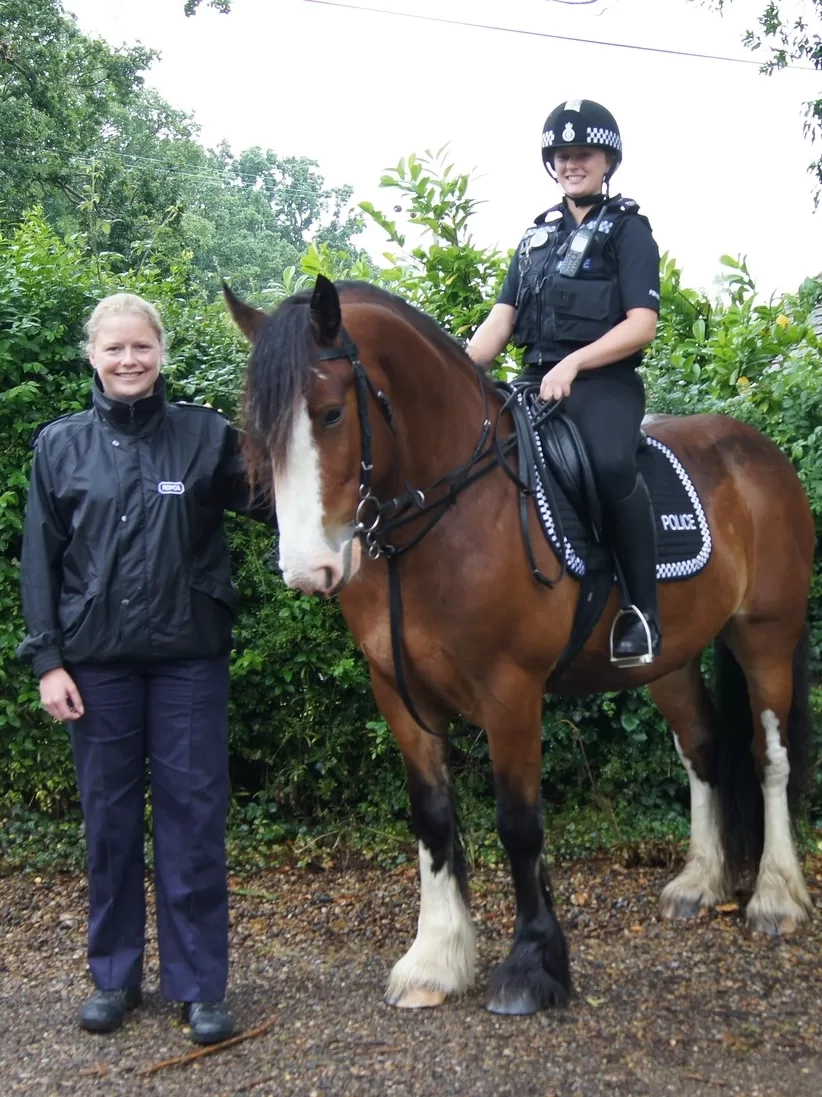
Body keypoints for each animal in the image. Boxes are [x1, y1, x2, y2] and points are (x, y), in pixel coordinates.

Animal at [224, 274, 814, 1015]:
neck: (450, 512)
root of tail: (758, 450)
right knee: (702, 748)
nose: (309, 570)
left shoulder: (510, 689)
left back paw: (775, 897)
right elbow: (433, 816)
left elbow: (518, 822)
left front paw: (532, 966)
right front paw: (434, 959)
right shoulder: (399, 692)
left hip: (766, 636)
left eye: (331, 414)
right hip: (668, 658)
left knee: (771, 758)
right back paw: (700, 883)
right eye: (254, 431)